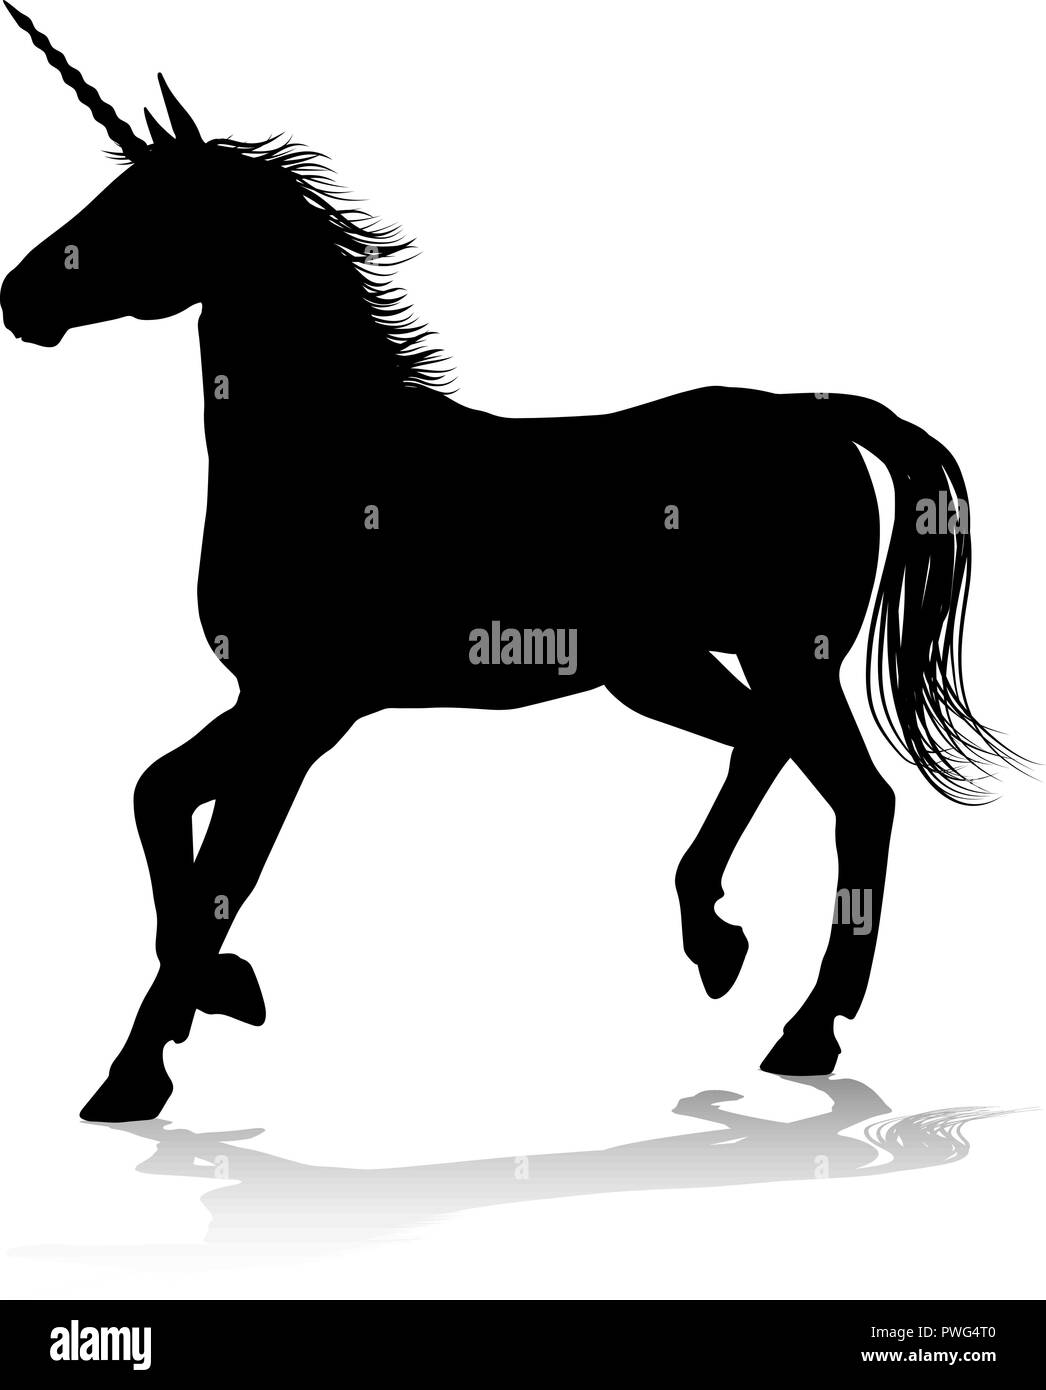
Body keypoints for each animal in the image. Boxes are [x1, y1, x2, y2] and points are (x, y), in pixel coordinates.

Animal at [1, 5, 1021, 1122]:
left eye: (142, 208)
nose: (17, 298)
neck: (329, 458)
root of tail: (814, 414)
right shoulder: (273, 703)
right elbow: (157, 798)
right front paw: (216, 999)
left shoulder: (303, 709)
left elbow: (219, 864)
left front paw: (140, 1068)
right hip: (674, 668)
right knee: (781, 755)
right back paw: (726, 955)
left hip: (779, 656)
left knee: (854, 797)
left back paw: (796, 1019)